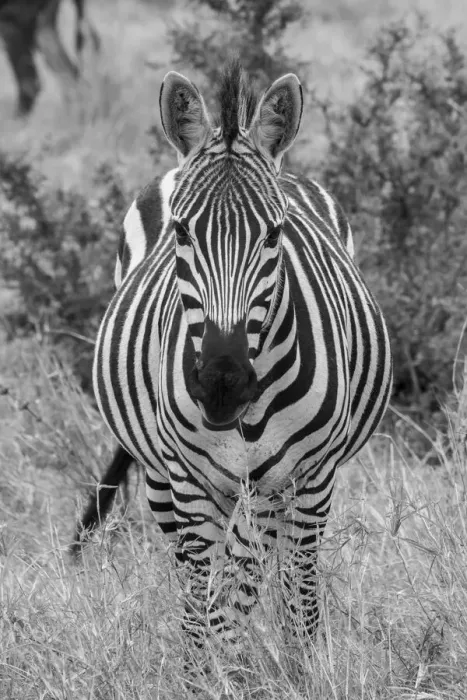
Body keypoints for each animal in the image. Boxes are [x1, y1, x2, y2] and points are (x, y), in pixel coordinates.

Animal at [81, 60, 392, 646]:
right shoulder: (189, 480)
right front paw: (210, 664)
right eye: (182, 232)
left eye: (275, 234)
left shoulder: (306, 477)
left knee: (271, 570)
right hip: (163, 479)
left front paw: (291, 661)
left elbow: (288, 596)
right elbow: (203, 603)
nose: (222, 382)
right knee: (196, 572)